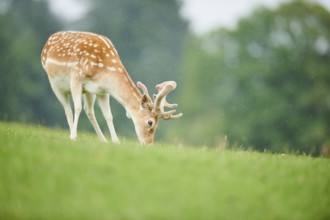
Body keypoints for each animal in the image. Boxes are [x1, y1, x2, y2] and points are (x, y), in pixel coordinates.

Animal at [41, 31, 183, 144]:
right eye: (150, 122)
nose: (148, 144)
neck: (104, 70)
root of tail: (47, 41)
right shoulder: (76, 77)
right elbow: (77, 108)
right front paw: (74, 137)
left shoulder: (102, 91)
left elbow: (108, 115)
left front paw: (116, 141)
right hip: (54, 84)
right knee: (68, 109)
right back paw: (72, 134)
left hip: (88, 92)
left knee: (89, 110)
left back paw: (102, 139)